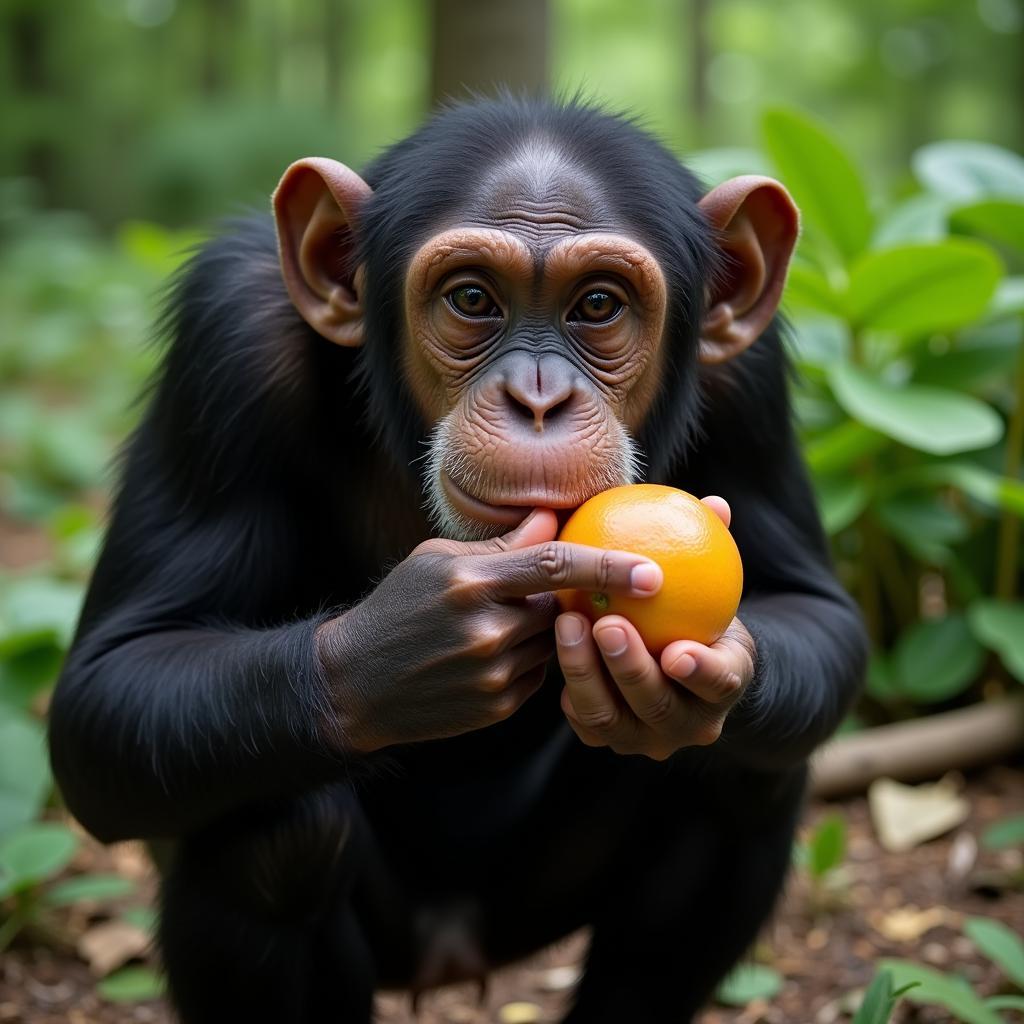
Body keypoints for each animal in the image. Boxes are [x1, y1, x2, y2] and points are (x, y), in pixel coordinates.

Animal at [46, 94, 864, 1015]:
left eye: (598, 307)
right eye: (473, 298)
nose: (537, 400)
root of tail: (451, 956)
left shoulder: (749, 376)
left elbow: (813, 608)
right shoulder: (227, 338)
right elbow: (116, 676)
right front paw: (409, 643)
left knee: (745, 780)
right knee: (274, 844)